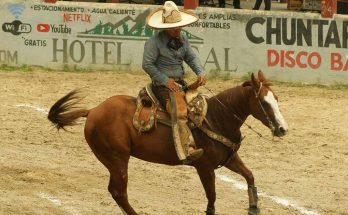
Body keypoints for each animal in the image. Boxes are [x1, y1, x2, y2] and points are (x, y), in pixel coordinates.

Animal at [48, 71, 288, 215]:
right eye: (264, 103)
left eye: (276, 99)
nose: (282, 129)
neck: (216, 118)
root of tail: (93, 111)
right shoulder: (205, 167)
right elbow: (212, 196)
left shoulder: (229, 158)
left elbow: (249, 175)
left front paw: (254, 207)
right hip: (117, 159)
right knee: (119, 192)